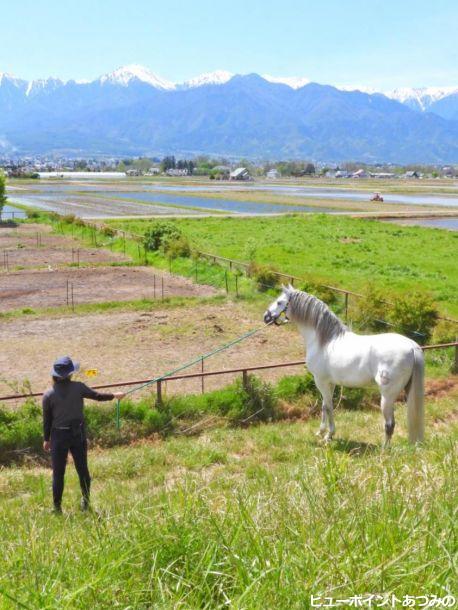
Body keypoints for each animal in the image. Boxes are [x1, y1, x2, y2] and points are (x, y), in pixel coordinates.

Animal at [264, 282, 426, 444]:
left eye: (279, 302)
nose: (266, 316)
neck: (325, 341)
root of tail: (412, 346)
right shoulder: (330, 383)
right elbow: (324, 405)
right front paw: (321, 431)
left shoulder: (320, 381)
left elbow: (329, 407)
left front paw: (329, 436)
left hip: (387, 396)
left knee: (389, 424)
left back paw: (384, 449)